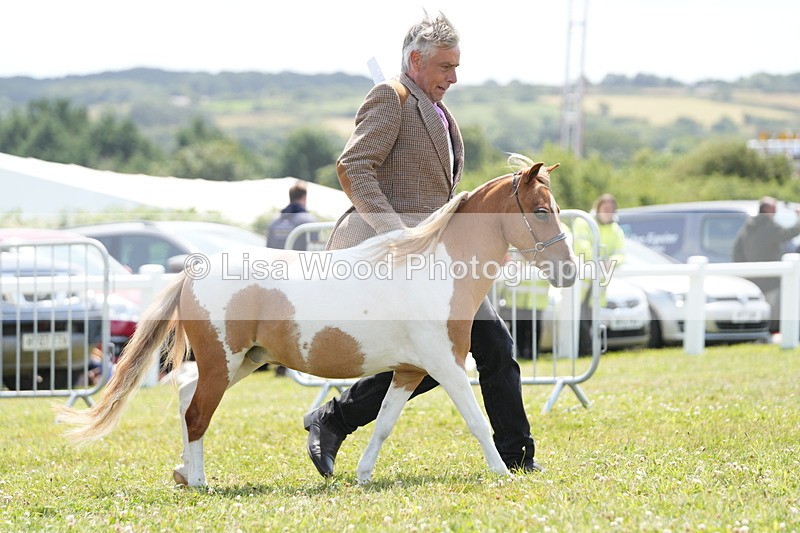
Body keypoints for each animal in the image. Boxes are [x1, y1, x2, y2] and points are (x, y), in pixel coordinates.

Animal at [57, 157, 577, 486]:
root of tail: (192, 269)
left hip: (243, 361)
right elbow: (476, 420)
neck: (435, 269)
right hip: (223, 362)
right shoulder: (445, 366)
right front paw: (503, 473)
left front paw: (362, 476)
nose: (569, 272)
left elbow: (384, 423)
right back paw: (200, 481)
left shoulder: (410, 371)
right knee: (197, 412)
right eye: (540, 211)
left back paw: (184, 473)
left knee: (186, 397)